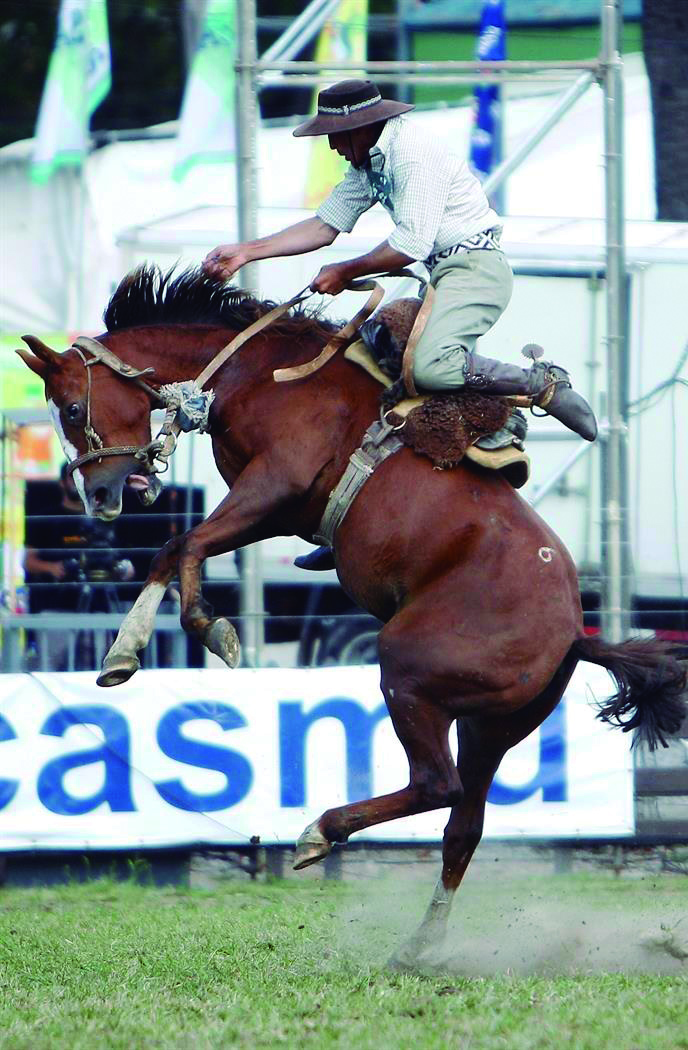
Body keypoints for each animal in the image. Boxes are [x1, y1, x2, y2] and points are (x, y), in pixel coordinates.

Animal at [17, 264, 688, 961]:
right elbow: (176, 550)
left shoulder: (274, 486)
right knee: (464, 823)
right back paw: (419, 946)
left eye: (73, 408)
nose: (98, 496)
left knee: (437, 785)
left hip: (409, 674)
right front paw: (135, 648)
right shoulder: (280, 510)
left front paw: (194, 633)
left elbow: (184, 546)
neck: (260, 370)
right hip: (493, 727)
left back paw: (320, 832)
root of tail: (574, 634)